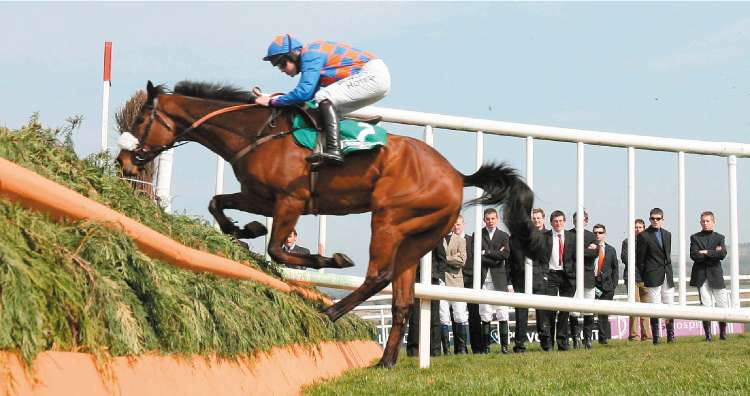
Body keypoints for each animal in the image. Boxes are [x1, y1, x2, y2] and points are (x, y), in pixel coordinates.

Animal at [116, 80, 540, 368]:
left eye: (140, 118)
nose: (123, 162)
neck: (257, 133)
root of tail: (457, 175)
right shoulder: (260, 196)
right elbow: (217, 203)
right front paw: (243, 230)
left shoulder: (291, 201)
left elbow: (277, 249)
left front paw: (325, 261)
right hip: (417, 236)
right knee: (401, 297)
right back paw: (385, 360)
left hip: (387, 219)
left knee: (377, 275)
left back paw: (331, 312)